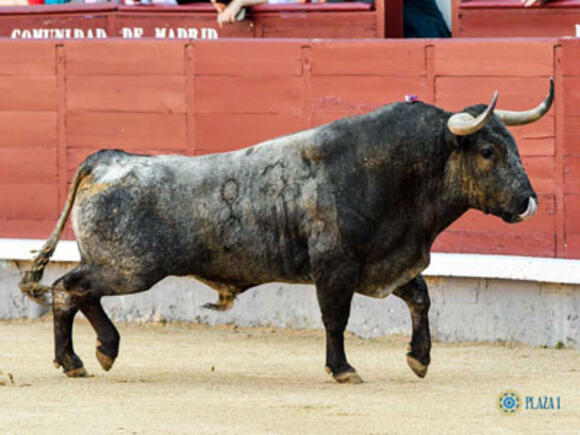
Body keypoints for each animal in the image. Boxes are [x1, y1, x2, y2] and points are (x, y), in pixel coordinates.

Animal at [18, 79, 552, 384]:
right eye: (488, 151)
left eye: (513, 144)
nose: (529, 203)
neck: (393, 171)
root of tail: (108, 159)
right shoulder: (335, 267)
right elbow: (336, 319)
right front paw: (343, 369)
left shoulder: (384, 261)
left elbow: (420, 298)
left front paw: (419, 359)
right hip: (129, 269)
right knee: (68, 290)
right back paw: (75, 361)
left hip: (117, 267)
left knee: (80, 294)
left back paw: (102, 352)